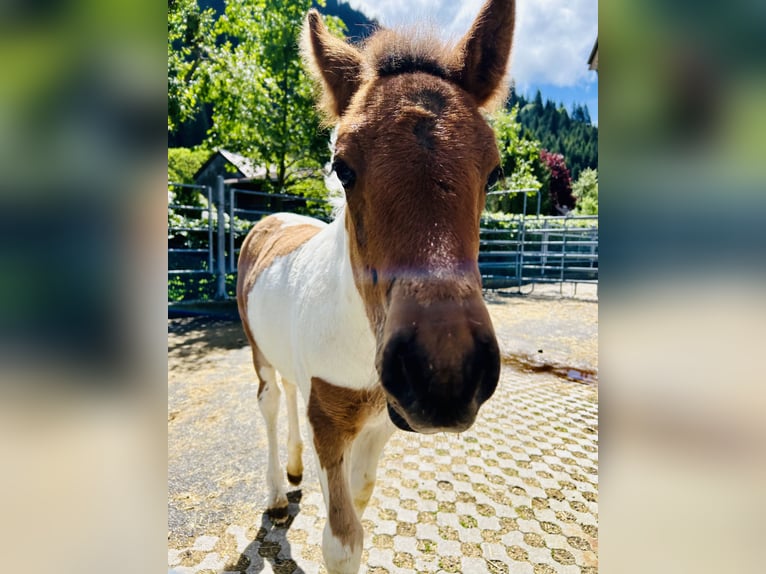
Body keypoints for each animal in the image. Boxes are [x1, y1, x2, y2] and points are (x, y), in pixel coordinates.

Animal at [237, 1, 520, 572]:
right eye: (341, 167)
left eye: (495, 171)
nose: (445, 375)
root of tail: (271, 218)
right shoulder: (329, 422)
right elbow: (342, 540)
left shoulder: (382, 422)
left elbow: (361, 495)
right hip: (257, 352)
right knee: (271, 402)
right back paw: (276, 492)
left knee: (290, 389)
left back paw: (295, 471)